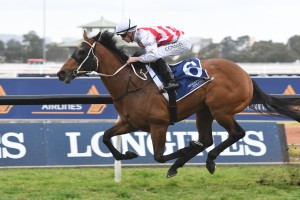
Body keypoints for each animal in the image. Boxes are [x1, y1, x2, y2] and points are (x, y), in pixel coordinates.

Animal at [56, 30, 300, 177]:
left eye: (81, 52)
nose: (61, 73)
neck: (132, 83)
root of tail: (246, 75)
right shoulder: (130, 123)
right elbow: (106, 137)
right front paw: (128, 155)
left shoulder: (159, 124)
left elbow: (159, 156)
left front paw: (184, 149)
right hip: (204, 111)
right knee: (207, 139)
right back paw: (187, 163)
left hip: (221, 110)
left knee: (236, 134)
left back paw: (207, 161)